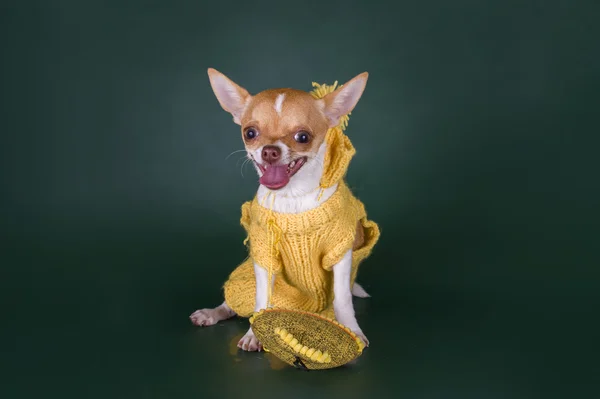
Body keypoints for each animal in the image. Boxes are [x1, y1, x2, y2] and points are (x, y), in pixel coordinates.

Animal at [192, 69, 378, 354]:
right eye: (250, 132)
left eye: (303, 137)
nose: (269, 151)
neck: (294, 198)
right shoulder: (264, 256)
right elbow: (261, 300)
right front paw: (254, 334)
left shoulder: (340, 253)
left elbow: (343, 299)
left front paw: (353, 331)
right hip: (243, 278)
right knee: (233, 302)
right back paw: (211, 313)